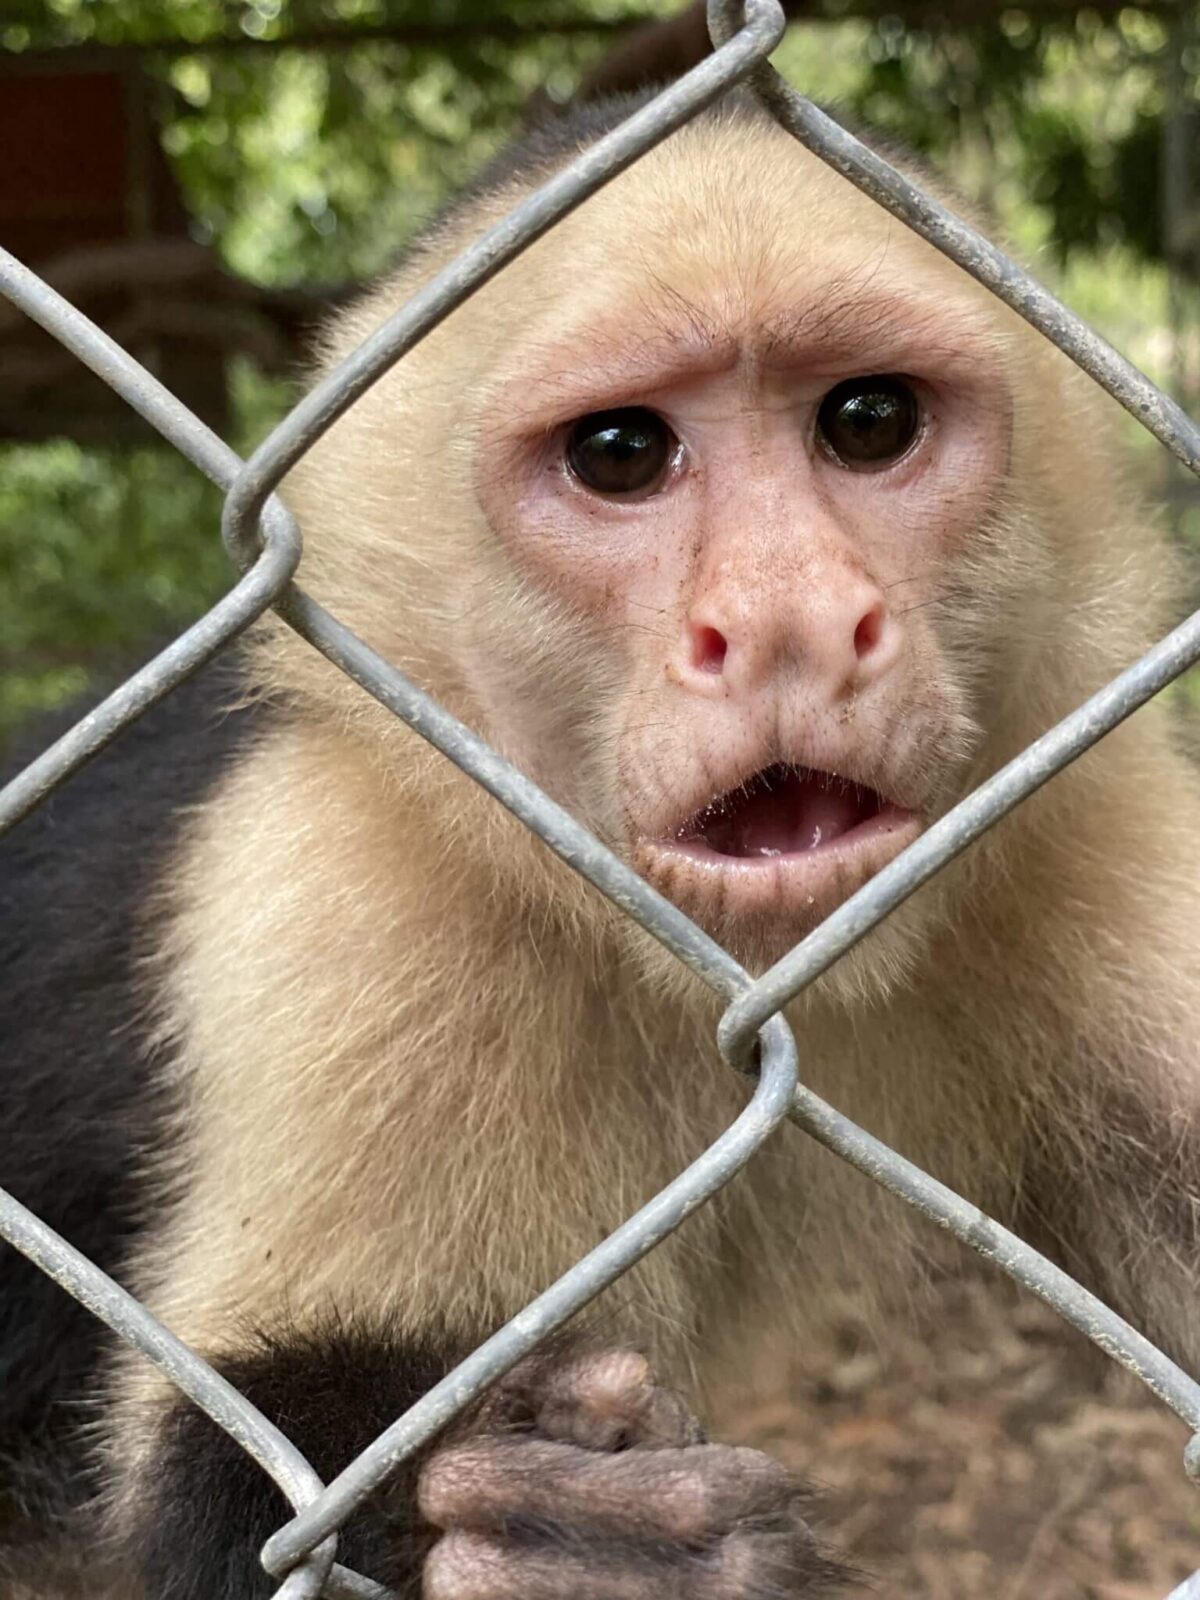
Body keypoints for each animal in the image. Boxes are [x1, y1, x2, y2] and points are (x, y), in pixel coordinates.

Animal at [2, 90, 1200, 1600]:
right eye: (621, 455)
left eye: (869, 422)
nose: (790, 620)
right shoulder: (340, 887)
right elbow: (257, 1493)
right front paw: (563, 1551)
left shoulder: (1093, 816)